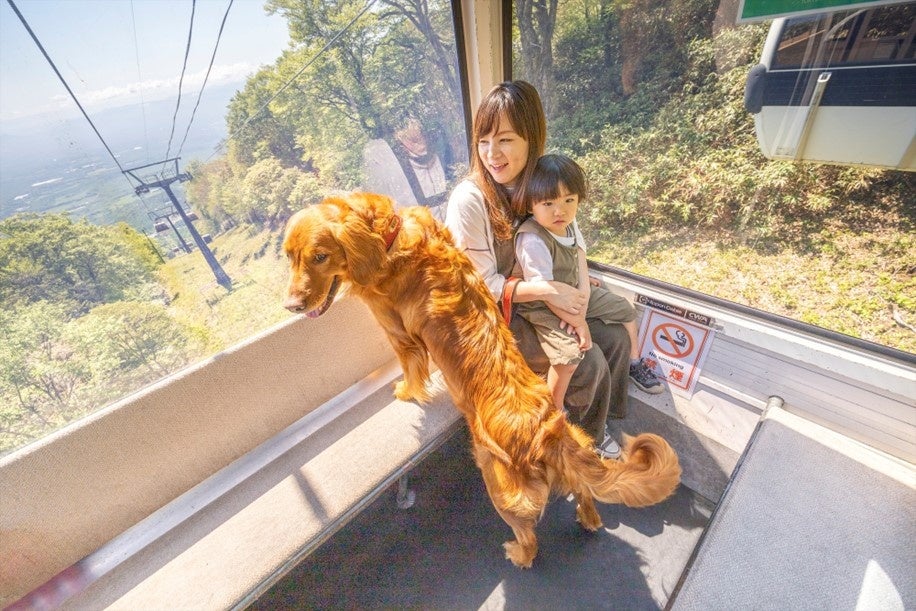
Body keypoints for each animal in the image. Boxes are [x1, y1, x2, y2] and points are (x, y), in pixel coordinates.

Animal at [284, 192, 680, 568]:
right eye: (290, 257)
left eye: (320, 257)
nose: (291, 305)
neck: (388, 235)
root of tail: (547, 431)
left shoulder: (397, 333)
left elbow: (411, 369)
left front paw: (405, 391)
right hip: (575, 442)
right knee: (583, 492)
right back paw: (589, 520)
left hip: (499, 486)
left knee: (529, 536)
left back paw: (518, 554)